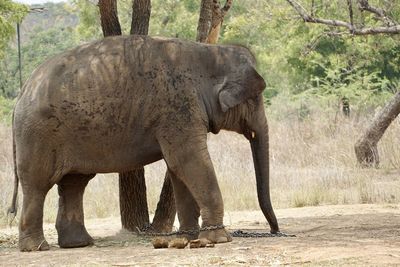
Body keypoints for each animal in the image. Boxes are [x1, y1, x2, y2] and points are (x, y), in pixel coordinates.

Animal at [8, 34, 278, 252]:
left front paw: (187, 239)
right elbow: (188, 162)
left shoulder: (178, 116)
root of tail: (22, 92)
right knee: (38, 184)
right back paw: (37, 248)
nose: (274, 231)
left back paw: (79, 244)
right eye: (255, 97)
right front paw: (219, 239)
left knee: (74, 183)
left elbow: (179, 168)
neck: (212, 51)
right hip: (38, 135)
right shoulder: (178, 108)